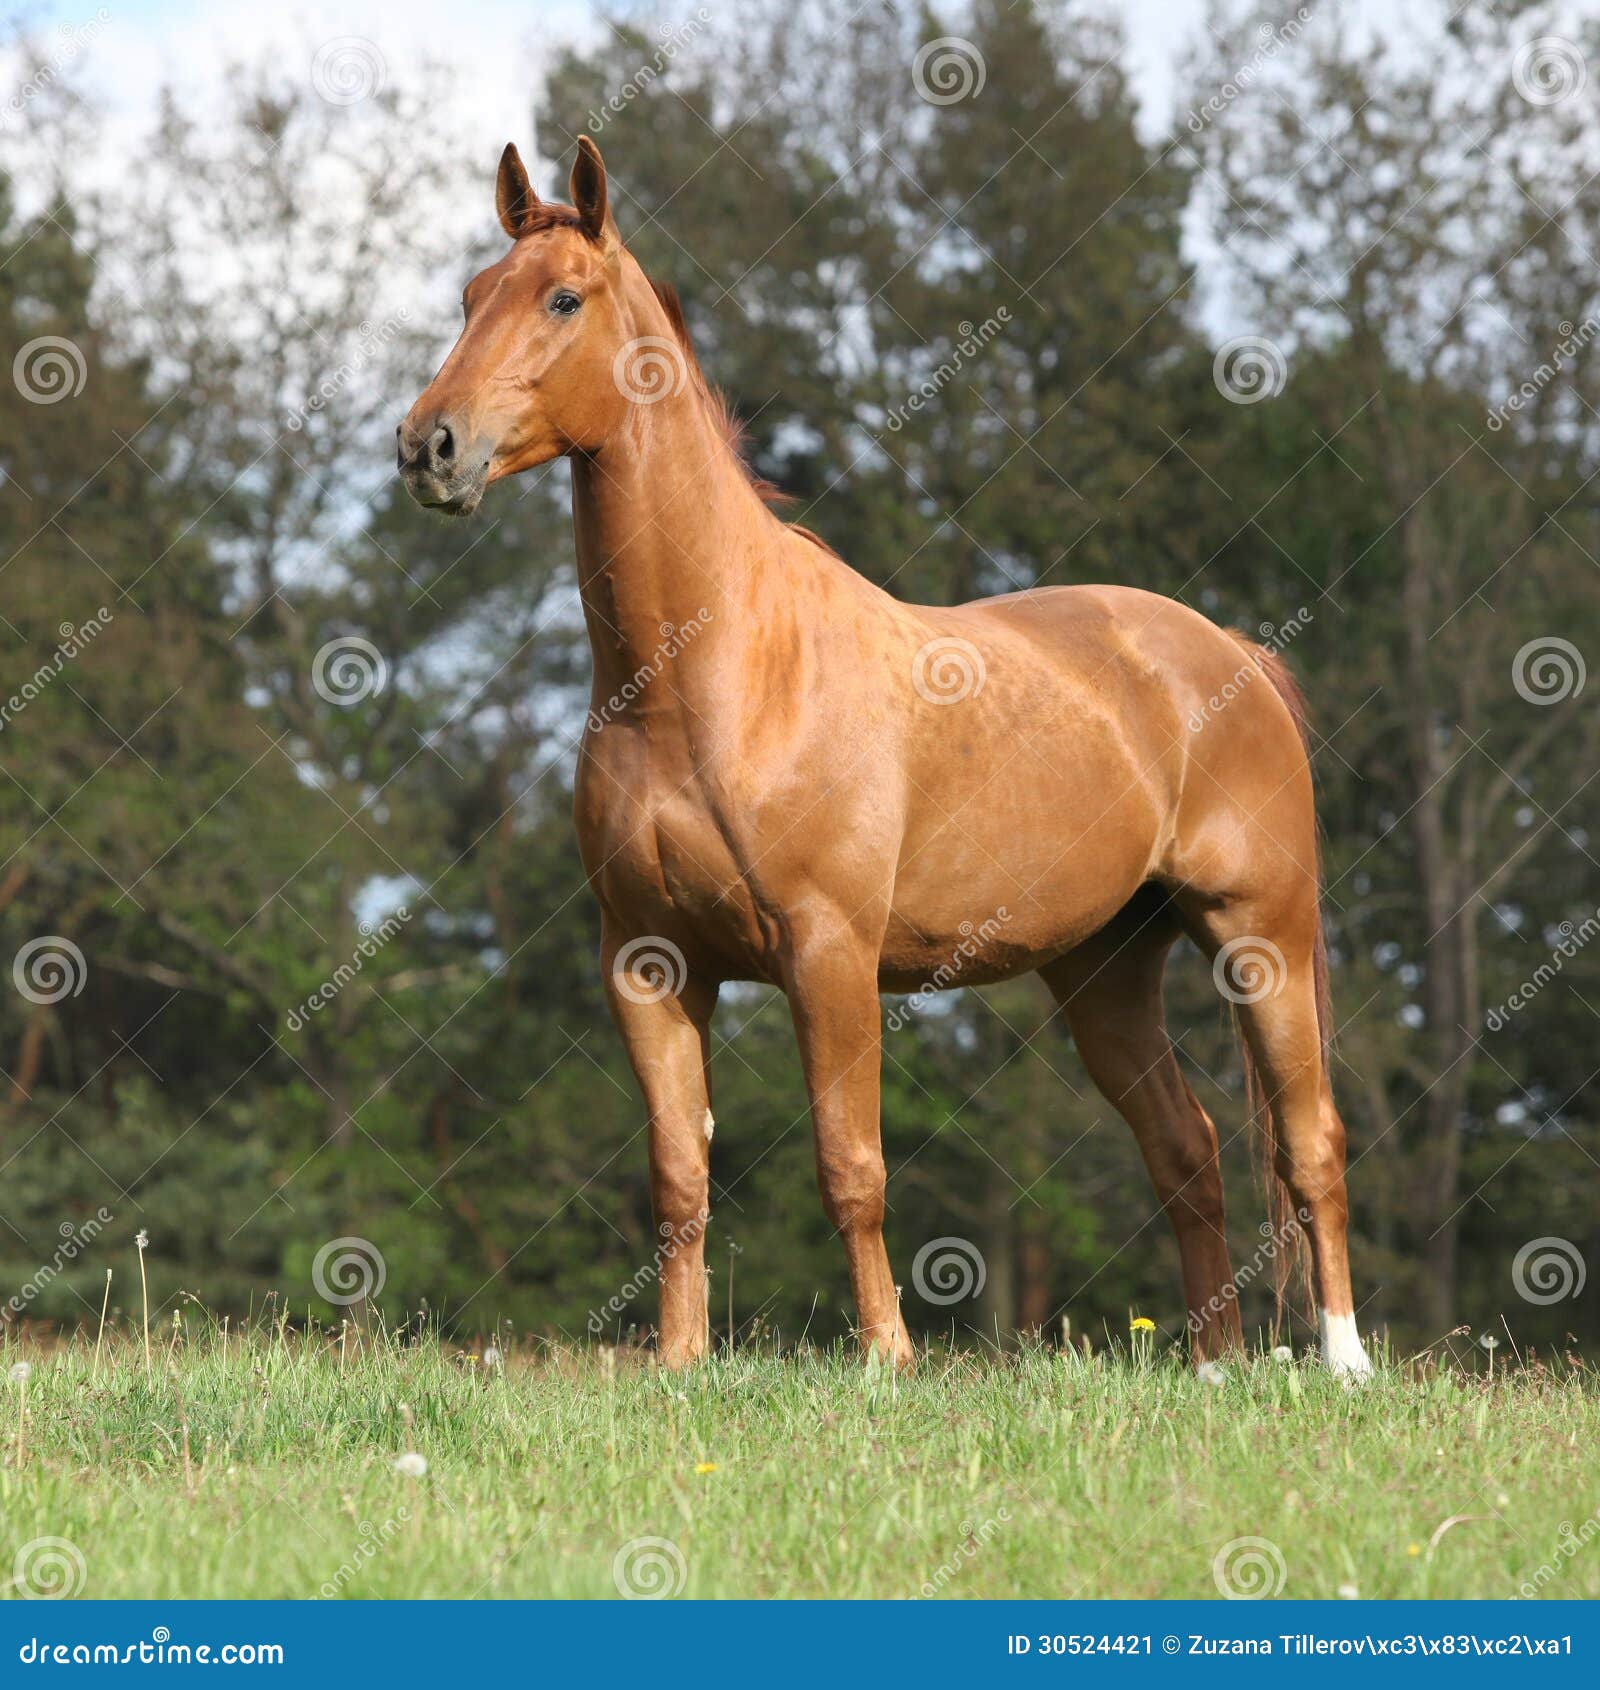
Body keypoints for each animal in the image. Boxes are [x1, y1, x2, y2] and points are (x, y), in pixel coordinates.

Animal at [398, 136, 1372, 1377]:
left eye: (562, 297)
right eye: (472, 295)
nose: (427, 446)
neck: (709, 674)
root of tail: (1233, 651)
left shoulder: (828, 955)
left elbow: (849, 1166)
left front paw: (884, 1361)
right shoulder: (649, 964)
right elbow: (678, 1178)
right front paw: (679, 1362)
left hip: (1261, 939)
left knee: (1310, 1142)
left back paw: (1341, 1362)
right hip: (1103, 972)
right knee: (1187, 1149)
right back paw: (1212, 1365)